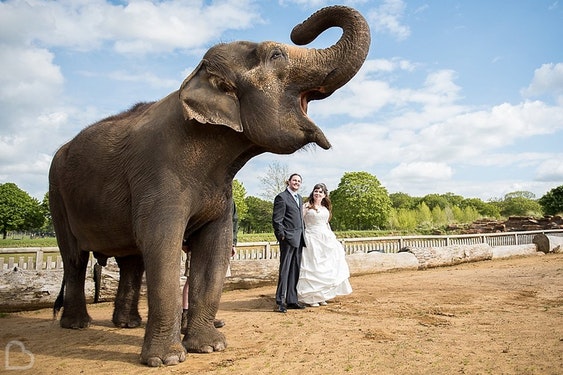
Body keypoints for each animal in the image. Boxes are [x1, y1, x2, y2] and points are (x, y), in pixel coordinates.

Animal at [48, 4, 370, 368]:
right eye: (276, 55)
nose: (298, 30)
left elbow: (215, 249)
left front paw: (210, 347)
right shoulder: (158, 175)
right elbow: (162, 245)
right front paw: (168, 360)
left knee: (131, 262)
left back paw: (128, 324)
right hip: (57, 194)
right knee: (75, 258)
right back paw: (78, 325)